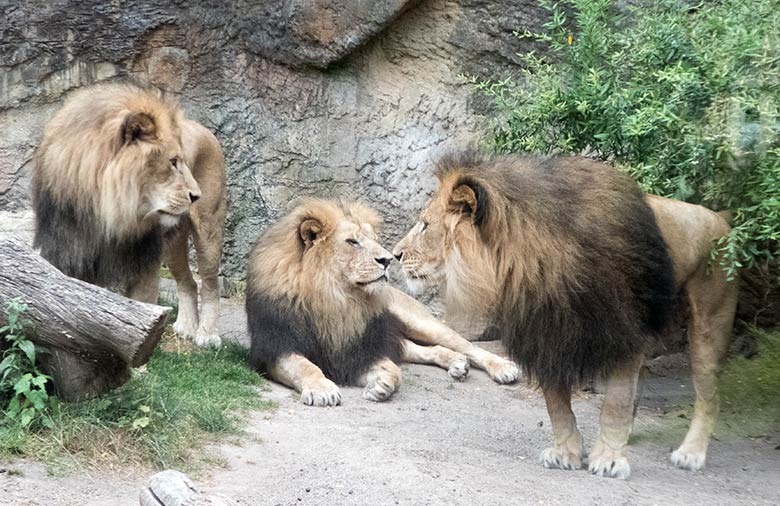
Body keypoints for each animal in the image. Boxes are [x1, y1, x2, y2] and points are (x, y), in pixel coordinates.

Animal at [34, 84, 229, 348]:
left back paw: (207, 335)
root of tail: (203, 128)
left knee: (209, 283)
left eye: (181, 161)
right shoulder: (69, 250)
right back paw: (185, 327)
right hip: (172, 243)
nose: (196, 195)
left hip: (208, 227)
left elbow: (142, 309)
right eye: (173, 162)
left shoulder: (144, 257)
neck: (106, 211)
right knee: (187, 281)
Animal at [247, 198, 520, 408]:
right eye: (353, 242)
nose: (389, 259)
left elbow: (394, 371)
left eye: (374, 239)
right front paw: (322, 389)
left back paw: (502, 367)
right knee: (425, 350)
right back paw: (456, 363)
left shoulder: (361, 348)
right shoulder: (276, 347)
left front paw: (381, 386)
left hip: (419, 321)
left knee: (467, 346)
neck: (334, 299)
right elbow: (305, 366)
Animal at [396, 150, 736, 478]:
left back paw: (690, 454)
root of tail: (718, 216)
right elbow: (556, 403)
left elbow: (615, 403)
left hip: (709, 324)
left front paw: (608, 459)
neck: (527, 265)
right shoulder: (546, 332)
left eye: (425, 225)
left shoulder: (623, 332)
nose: (396, 254)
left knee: (709, 397)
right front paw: (567, 452)